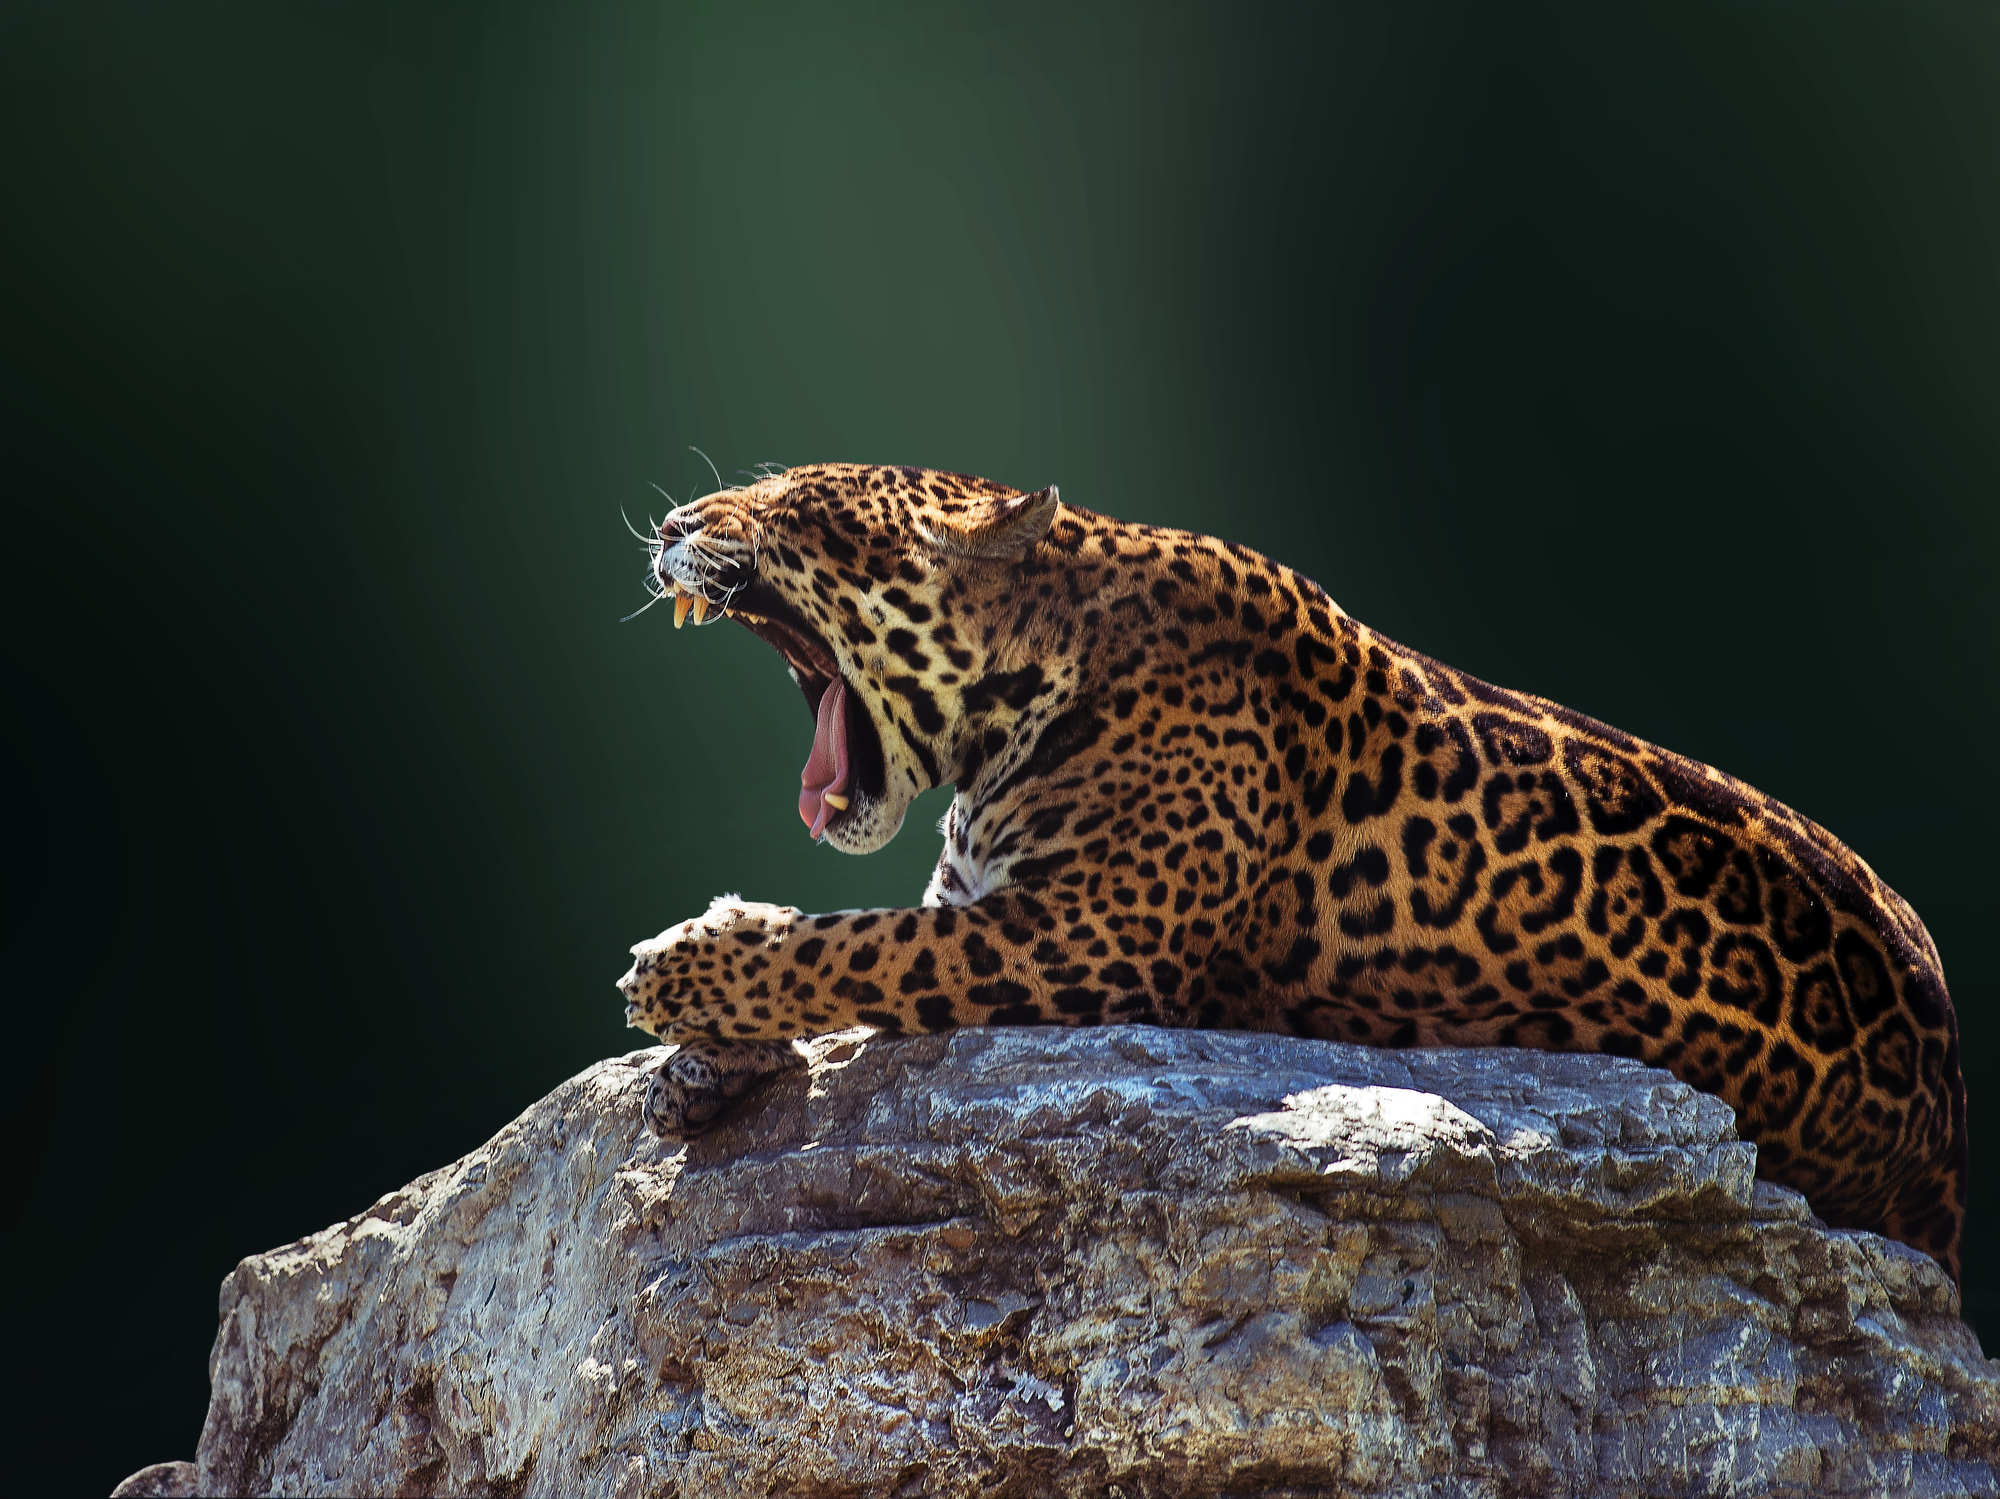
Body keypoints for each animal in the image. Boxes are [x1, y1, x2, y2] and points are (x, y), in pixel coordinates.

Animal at [617, 462, 1968, 1283]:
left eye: (790, 506)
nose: (674, 524)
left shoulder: (1080, 938)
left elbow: (857, 945)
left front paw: (684, 969)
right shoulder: (987, 901)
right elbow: (852, 948)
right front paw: (699, 1062)